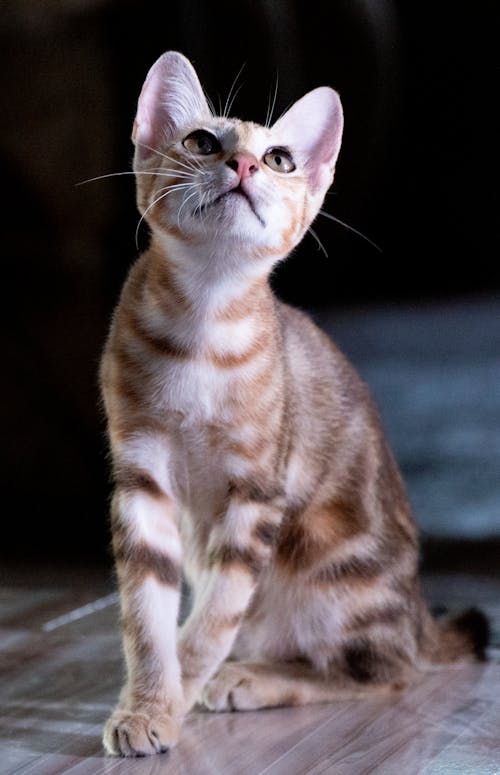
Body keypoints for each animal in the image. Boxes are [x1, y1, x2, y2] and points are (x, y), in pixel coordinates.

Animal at [101, 50, 488, 756]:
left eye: (279, 158)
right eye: (202, 142)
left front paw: (175, 696)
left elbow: (215, 615)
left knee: (387, 671)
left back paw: (251, 677)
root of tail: (419, 617)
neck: (203, 328)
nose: (245, 166)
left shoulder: (258, 493)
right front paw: (147, 702)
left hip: (335, 567)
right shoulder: (141, 479)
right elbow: (147, 614)